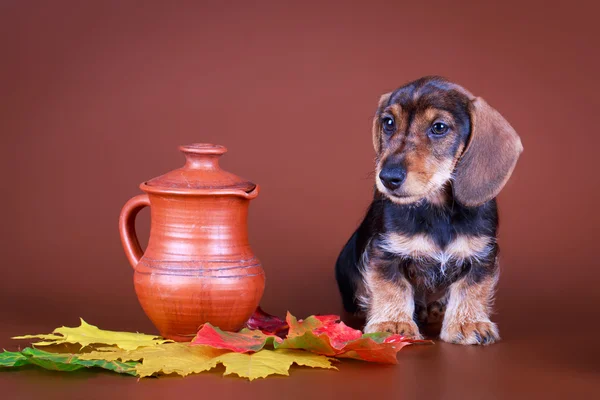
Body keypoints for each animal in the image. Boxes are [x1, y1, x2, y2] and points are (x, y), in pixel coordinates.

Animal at [336, 77, 524, 344]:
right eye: (389, 122)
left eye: (439, 127)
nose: (388, 177)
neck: (437, 210)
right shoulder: (384, 252)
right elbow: (393, 288)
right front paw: (393, 323)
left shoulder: (481, 255)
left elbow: (471, 289)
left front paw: (469, 323)